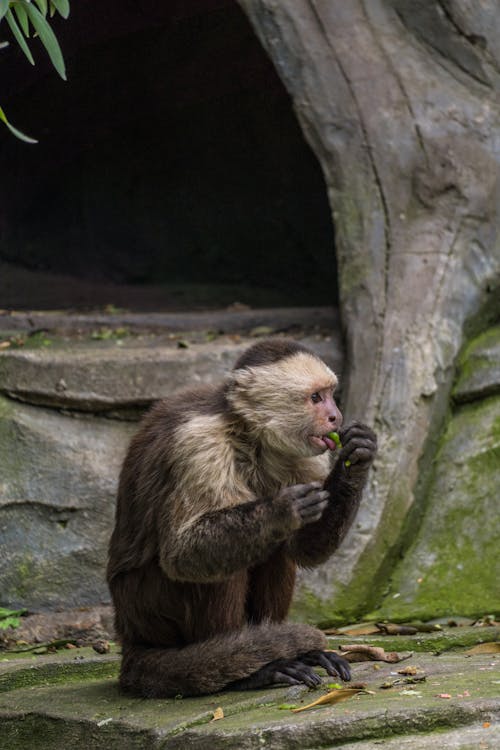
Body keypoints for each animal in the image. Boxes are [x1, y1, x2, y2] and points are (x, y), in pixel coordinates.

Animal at [107, 340, 376, 700]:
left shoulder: (301, 454)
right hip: (145, 608)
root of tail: (130, 637)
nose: (336, 416)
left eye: (331, 395)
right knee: (214, 567)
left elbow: (303, 548)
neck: (247, 434)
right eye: (316, 398)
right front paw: (281, 509)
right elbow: (180, 554)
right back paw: (243, 667)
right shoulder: (199, 444)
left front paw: (357, 458)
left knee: (273, 547)